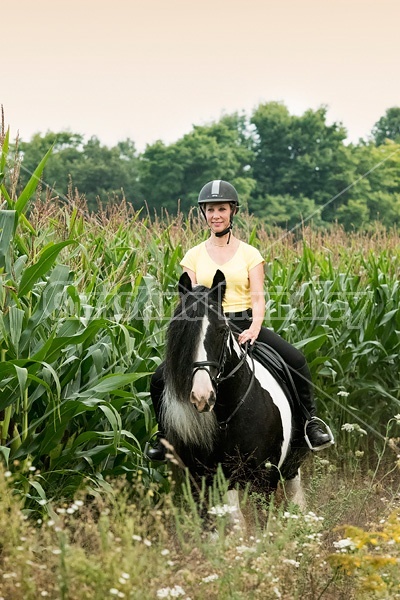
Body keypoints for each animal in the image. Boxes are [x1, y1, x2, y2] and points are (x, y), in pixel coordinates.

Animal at [159, 270, 310, 508]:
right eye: (180, 331)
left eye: (222, 330)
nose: (202, 396)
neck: (229, 411)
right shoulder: (201, 479)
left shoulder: (265, 479)